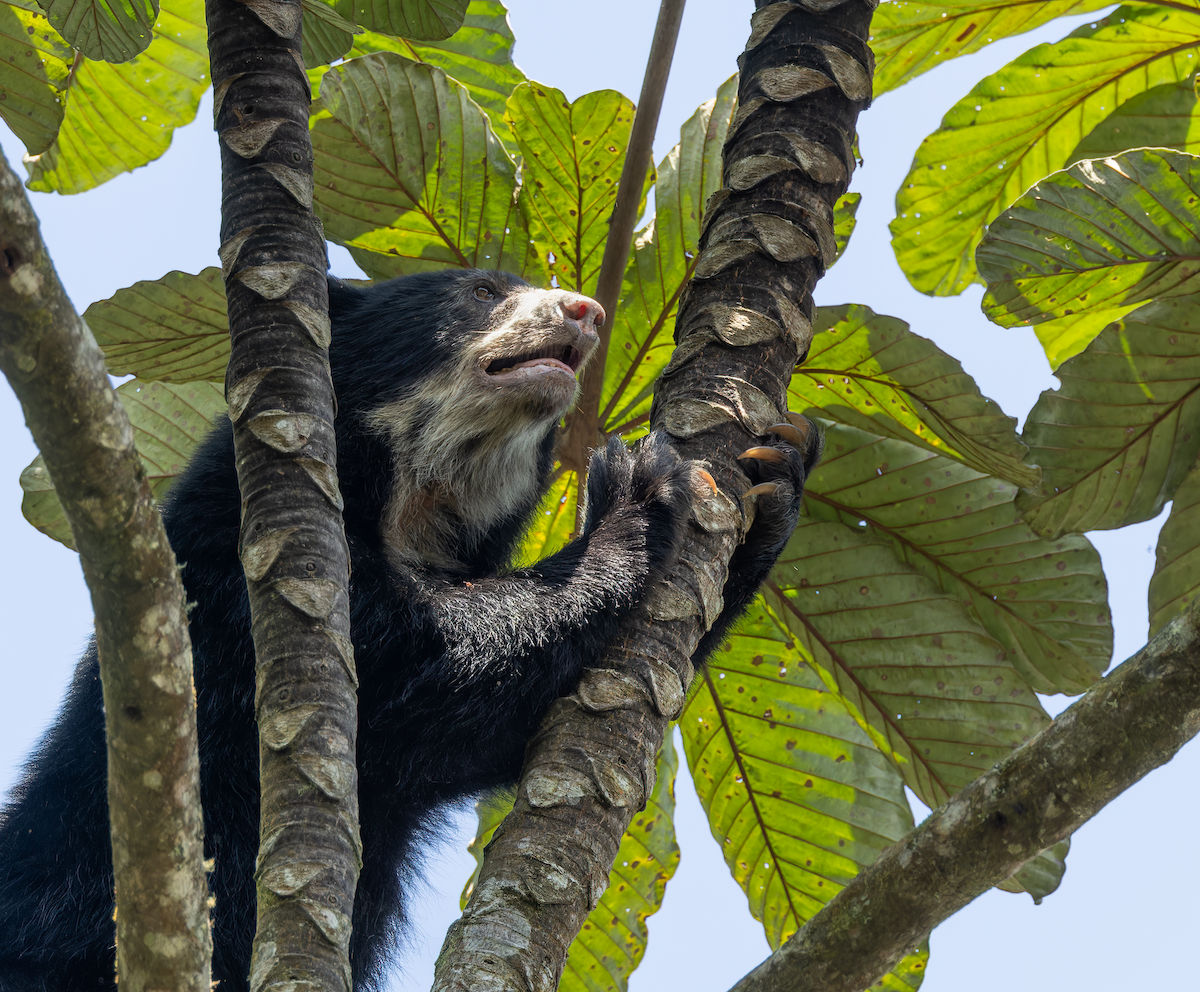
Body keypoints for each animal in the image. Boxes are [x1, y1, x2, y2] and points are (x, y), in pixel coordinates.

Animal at [0, 268, 819, 991]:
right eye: (482, 291)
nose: (586, 310)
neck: (409, 506)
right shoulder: (248, 582)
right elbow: (427, 670)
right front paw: (632, 489)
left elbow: (490, 728)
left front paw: (775, 475)